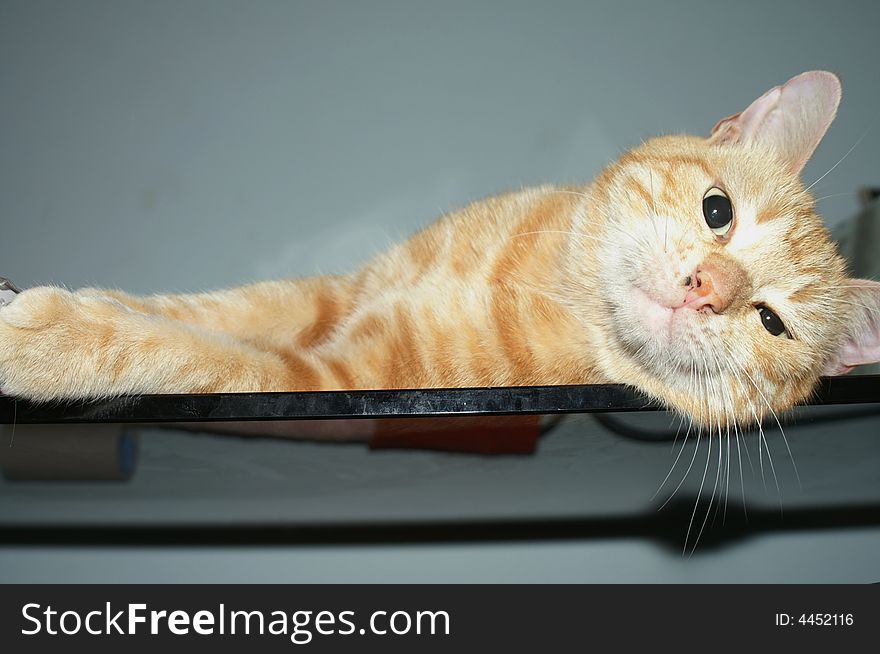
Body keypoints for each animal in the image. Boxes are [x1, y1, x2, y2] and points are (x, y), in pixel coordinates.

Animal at [0, 72, 876, 430]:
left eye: (771, 322)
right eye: (717, 210)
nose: (707, 287)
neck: (540, 277)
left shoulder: (331, 377)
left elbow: (192, 352)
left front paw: (44, 337)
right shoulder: (336, 292)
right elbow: (203, 311)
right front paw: (79, 299)